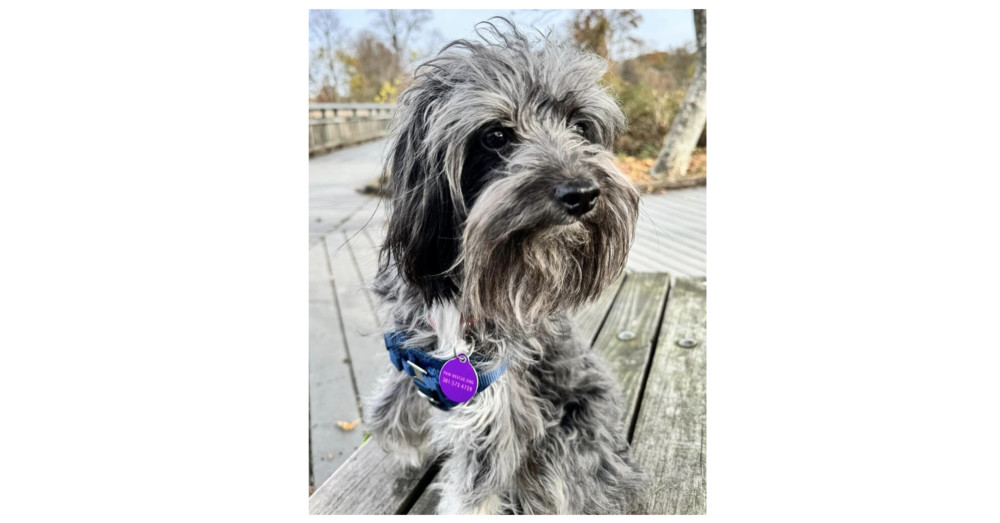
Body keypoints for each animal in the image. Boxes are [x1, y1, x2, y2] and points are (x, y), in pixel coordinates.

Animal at [366, 20, 640, 516]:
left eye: (579, 126)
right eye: (495, 136)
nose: (583, 193)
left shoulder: (497, 398)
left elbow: (477, 483)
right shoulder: (413, 358)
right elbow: (391, 412)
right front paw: (405, 445)